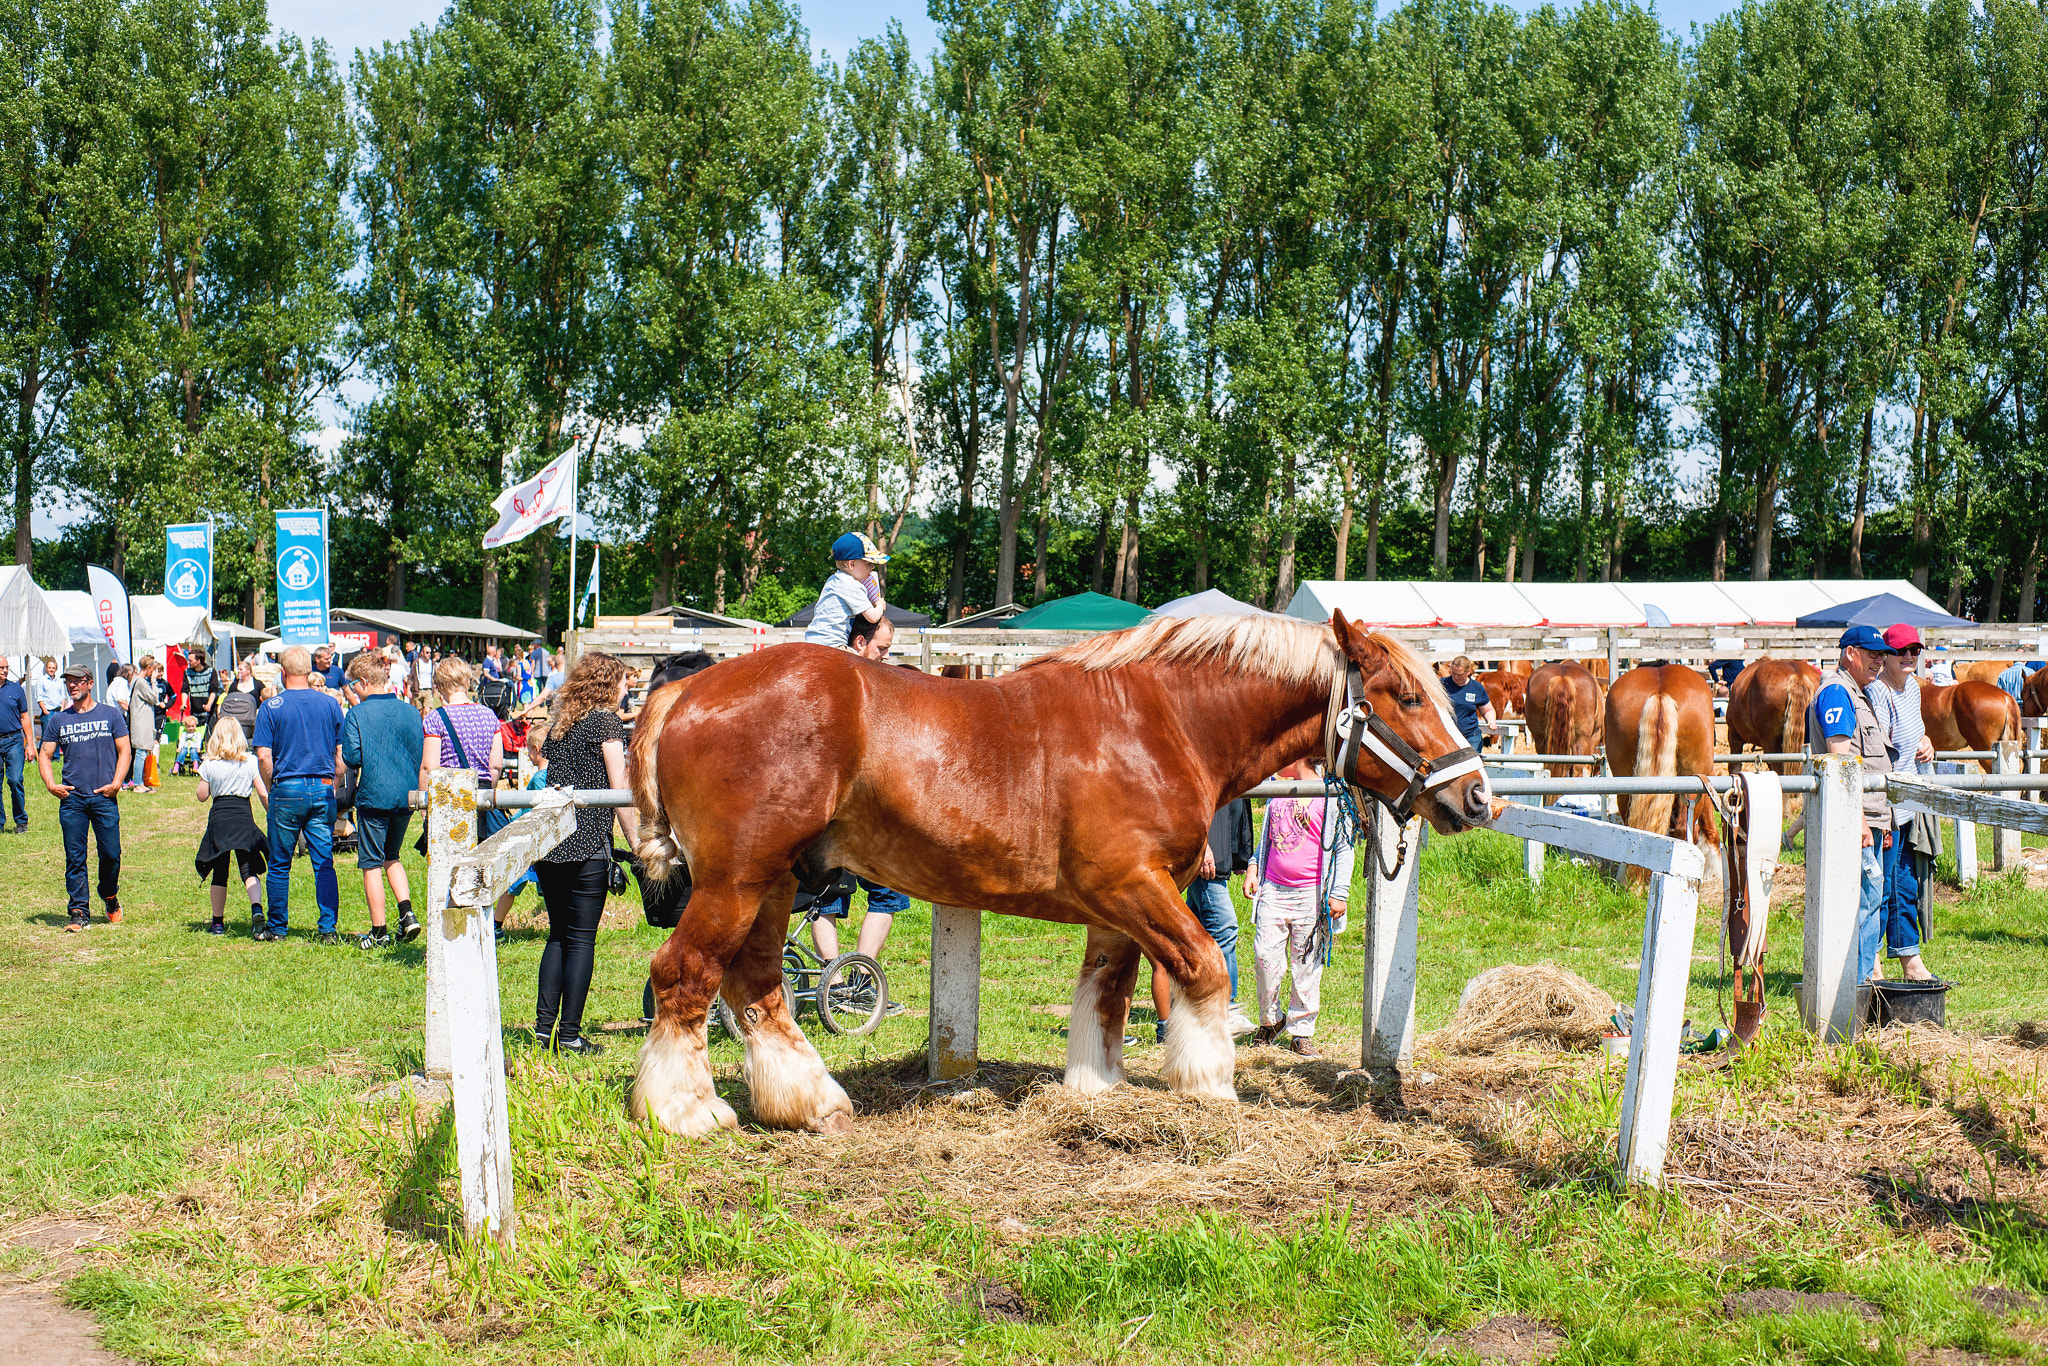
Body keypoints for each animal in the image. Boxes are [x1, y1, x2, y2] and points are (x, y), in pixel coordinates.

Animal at [622, 614, 1490, 1138]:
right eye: (1407, 696)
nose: (1478, 796)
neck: (1161, 722)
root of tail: (684, 689)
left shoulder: (1120, 906)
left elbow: (1106, 993)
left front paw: (1097, 1086)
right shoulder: (1134, 886)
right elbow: (1204, 970)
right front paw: (1208, 1083)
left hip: (773, 883)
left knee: (758, 986)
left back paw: (810, 1103)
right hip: (736, 881)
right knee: (685, 974)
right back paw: (685, 1111)